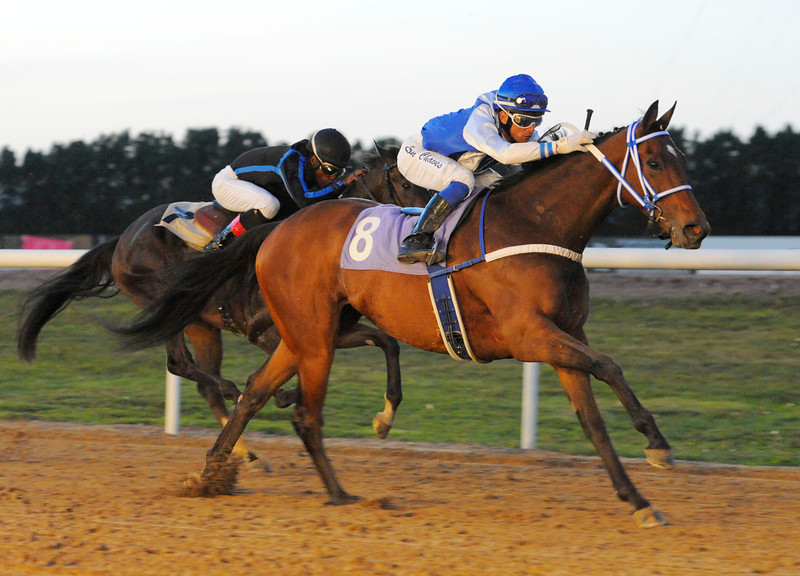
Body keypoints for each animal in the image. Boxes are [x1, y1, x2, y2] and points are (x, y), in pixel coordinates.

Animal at [17, 144, 432, 468]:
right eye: (406, 183)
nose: (422, 228)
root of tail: (122, 239)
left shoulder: (330, 330)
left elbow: (387, 342)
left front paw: (383, 418)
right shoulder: (266, 329)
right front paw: (285, 396)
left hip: (200, 322)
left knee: (203, 382)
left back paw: (245, 451)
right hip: (165, 302)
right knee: (180, 364)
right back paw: (236, 401)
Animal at [117, 102, 708, 528]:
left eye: (682, 161)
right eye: (656, 162)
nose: (696, 229)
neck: (537, 223)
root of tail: (279, 226)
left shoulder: (562, 336)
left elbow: (592, 421)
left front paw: (638, 499)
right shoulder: (530, 335)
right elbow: (610, 365)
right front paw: (657, 445)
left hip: (302, 333)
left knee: (256, 394)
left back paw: (214, 474)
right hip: (312, 336)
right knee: (301, 411)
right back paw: (337, 493)